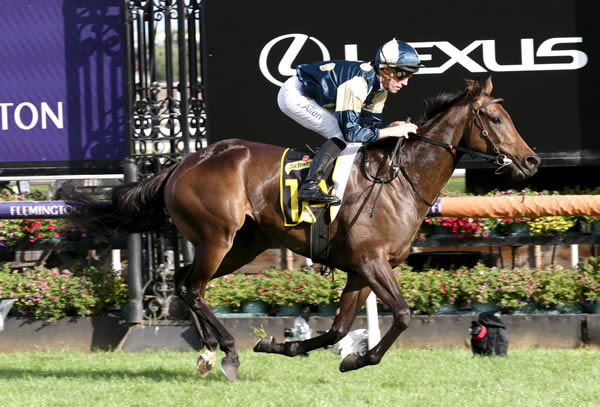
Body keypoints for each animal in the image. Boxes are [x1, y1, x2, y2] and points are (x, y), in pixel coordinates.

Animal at [68, 78, 540, 380]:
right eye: (495, 120)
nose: (532, 160)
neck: (401, 179)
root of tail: (183, 162)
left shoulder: (360, 271)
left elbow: (337, 330)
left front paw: (291, 348)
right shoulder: (372, 263)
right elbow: (404, 316)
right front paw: (351, 359)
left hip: (240, 245)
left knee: (186, 285)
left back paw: (207, 352)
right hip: (216, 238)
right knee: (192, 288)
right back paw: (228, 353)